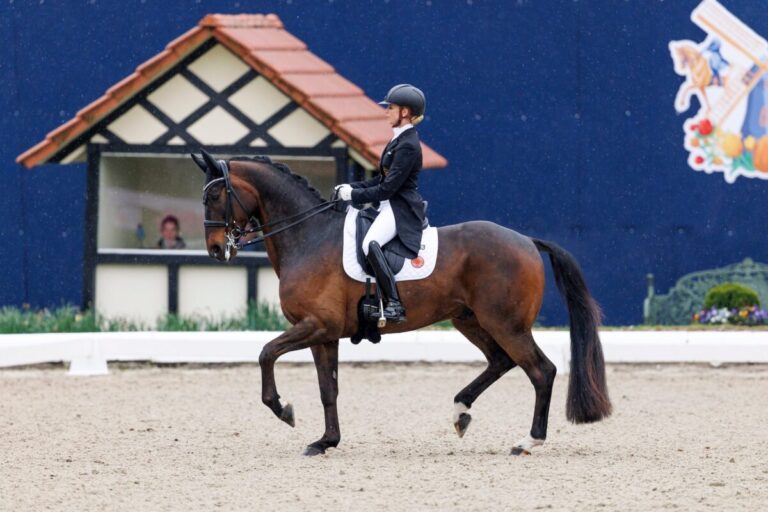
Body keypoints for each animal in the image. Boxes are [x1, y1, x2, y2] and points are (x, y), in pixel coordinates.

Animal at [192, 149, 612, 456]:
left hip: (506, 323)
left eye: (213, 196)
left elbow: (266, 353)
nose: (215, 249)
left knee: (541, 371)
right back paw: (461, 412)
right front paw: (326, 441)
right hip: (471, 320)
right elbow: (328, 389)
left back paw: (528, 441)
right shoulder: (324, 334)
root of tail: (527, 241)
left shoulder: (315, 325)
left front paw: (284, 410)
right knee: (501, 361)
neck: (308, 236)